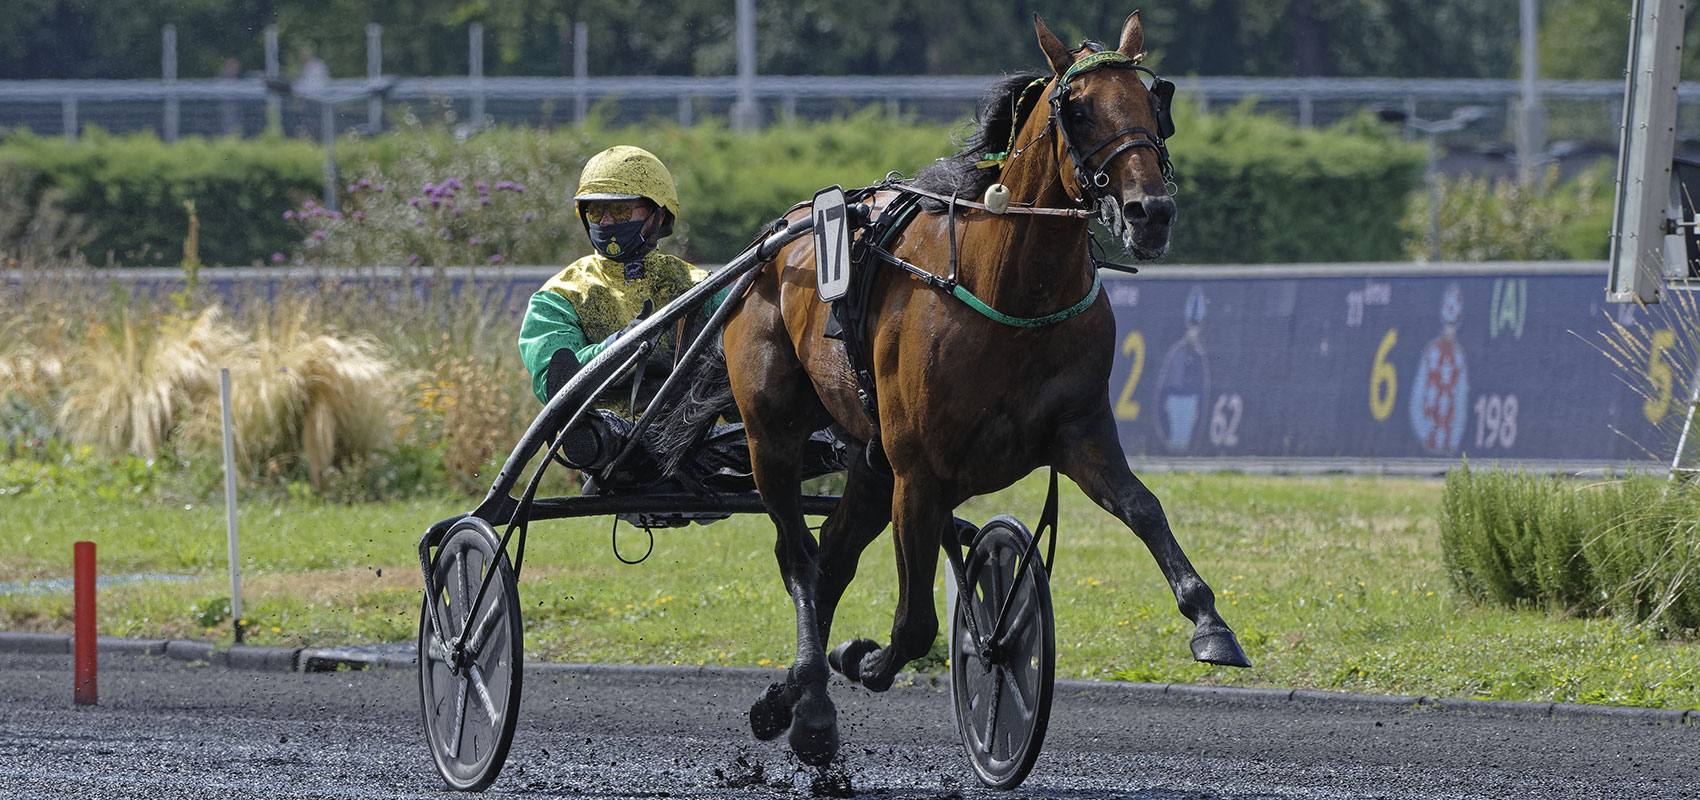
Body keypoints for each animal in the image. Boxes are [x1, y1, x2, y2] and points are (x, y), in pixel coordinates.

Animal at [717, 10, 1251, 764]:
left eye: (1155, 103)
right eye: (1078, 109)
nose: (1151, 212)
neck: (1011, 293)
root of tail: (779, 237)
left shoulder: (1079, 431)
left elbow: (1143, 508)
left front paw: (1209, 622)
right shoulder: (920, 471)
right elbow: (914, 622)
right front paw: (868, 659)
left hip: (870, 459)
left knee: (833, 559)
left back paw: (789, 695)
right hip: (774, 432)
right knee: (798, 554)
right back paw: (814, 700)